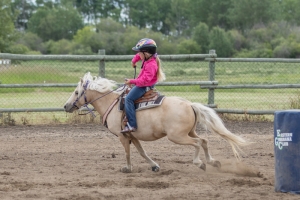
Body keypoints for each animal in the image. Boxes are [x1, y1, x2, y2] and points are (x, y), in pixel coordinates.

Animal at [64, 72, 250, 173]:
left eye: (76, 92)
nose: (66, 106)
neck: (111, 102)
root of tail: (190, 104)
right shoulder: (132, 135)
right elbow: (142, 152)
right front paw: (154, 166)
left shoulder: (123, 137)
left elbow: (128, 153)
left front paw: (128, 168)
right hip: (189, 131)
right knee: (204, 140)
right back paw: (213, 162)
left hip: (177, 136)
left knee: (197, 143)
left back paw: (199, 163)